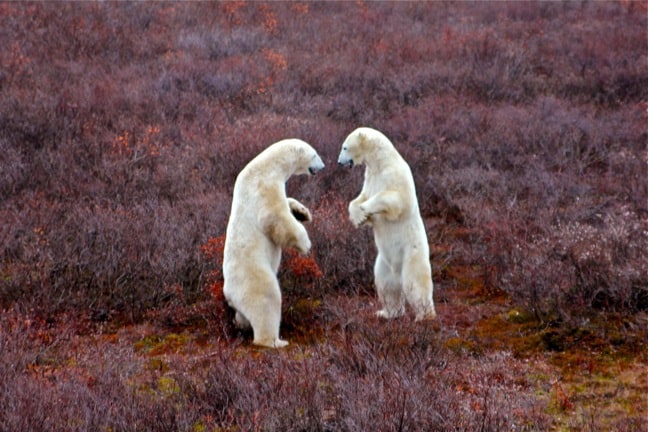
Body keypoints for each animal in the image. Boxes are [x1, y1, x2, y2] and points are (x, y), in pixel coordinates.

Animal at [224, 140, 326, 350]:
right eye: (314, 154)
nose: (322, 166)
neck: (268, 165)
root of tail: (228, 293)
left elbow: (287, 203)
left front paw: (303, 212)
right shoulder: (264, 186)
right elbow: (275, 216)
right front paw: (305, 244)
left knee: (243, 315)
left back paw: (241, 325)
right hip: (252, 276)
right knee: (267, 299)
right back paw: (275, 341)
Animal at [340, 126, 436, 322]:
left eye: (345, 147)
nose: (340, 162)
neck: (381, 162)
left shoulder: (395, 175)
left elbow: (397, 199)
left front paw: (365, 208)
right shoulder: (370, 178)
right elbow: (360, 197)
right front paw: (358, 215)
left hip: (412, 254)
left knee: (415, 283)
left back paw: (424, 316)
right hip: (383, 263)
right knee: (386, 285)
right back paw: (387, 312)